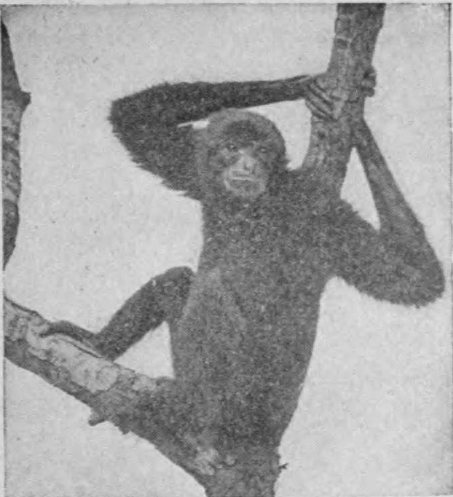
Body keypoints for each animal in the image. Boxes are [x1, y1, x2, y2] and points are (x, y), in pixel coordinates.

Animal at [44, 72, 444, 470]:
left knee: (212, 289)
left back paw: (193, 414)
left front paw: (357, 123)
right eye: (233, 148)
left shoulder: (314, 207)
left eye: (261, 152)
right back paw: (103, 346)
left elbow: (415, 279)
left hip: (249, 408)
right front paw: (304, 85)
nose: (248, 164)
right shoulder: (195, 168)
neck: (252, 210)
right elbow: (135, 118)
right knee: (177, 280)